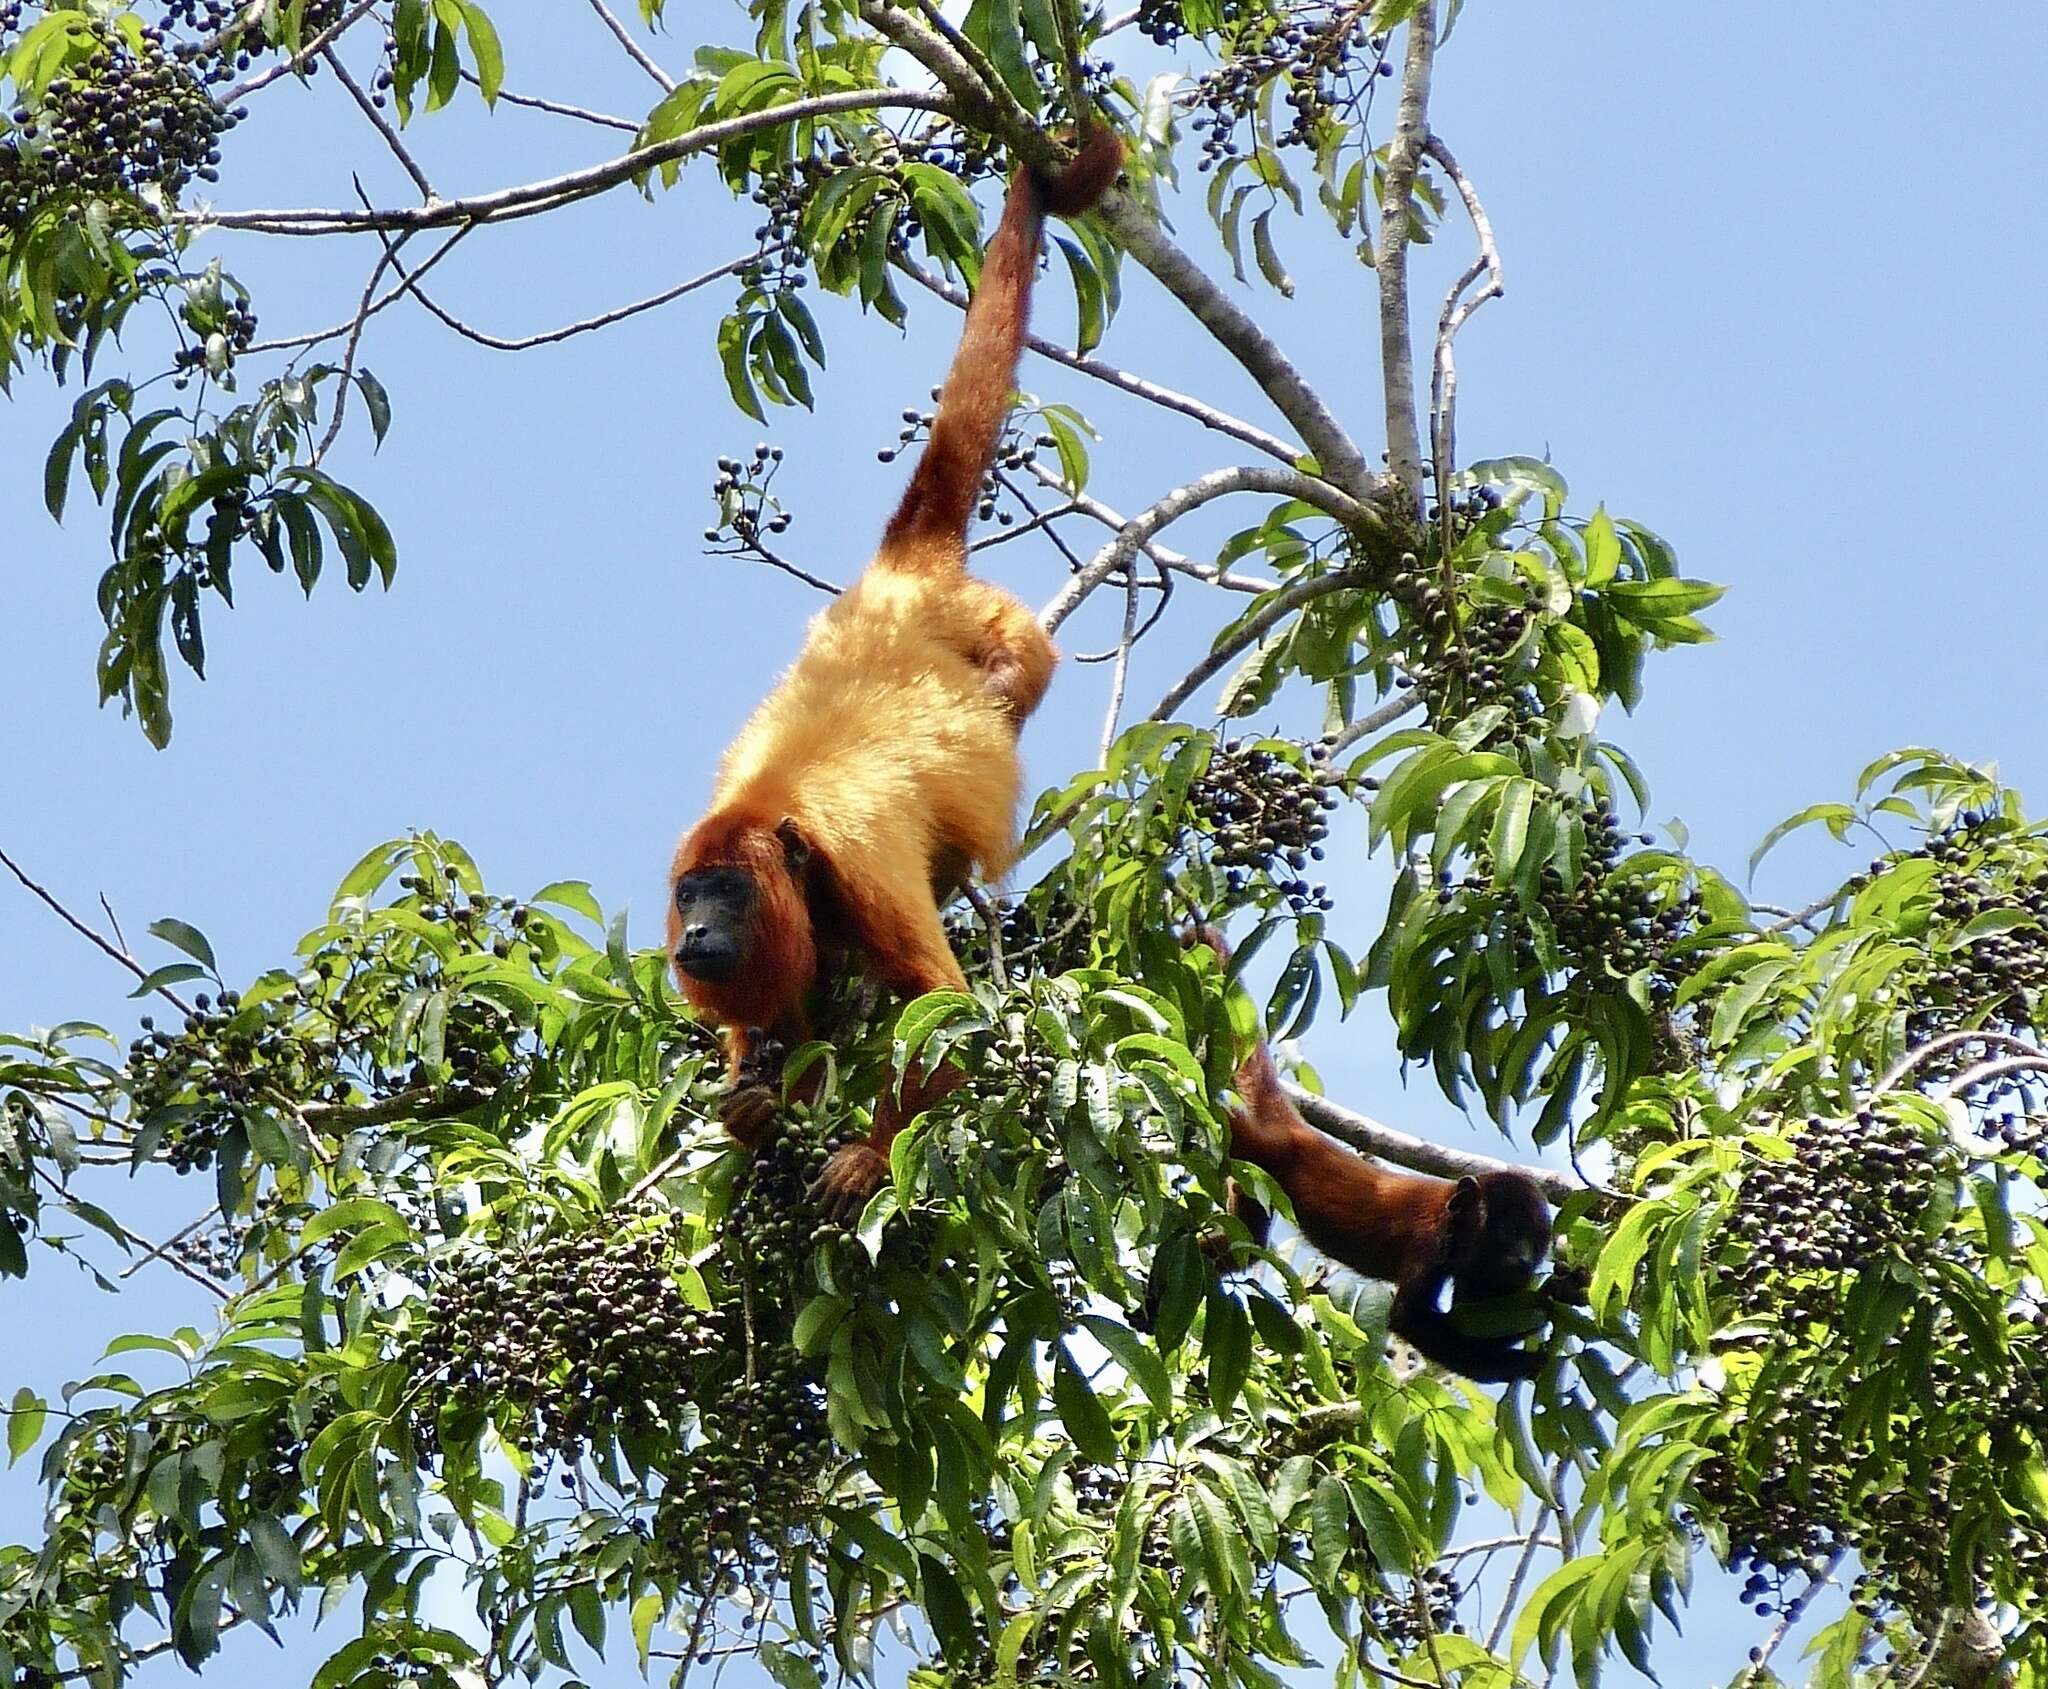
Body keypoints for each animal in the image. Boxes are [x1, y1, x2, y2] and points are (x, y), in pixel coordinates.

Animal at [667, 128, 1122, 1211]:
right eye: (687, 897)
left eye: (725, 894)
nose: (692, 936)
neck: (775, 815)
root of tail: (899, 575)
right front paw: (754, 1102)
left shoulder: (859, 866)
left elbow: (943, 1010)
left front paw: (868, 1157)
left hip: (998, 625)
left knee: (1016, 674)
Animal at [1187, 921, 1548, 1383]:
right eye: (1512, 1232)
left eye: (1535, 1242)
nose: (1524, 1262)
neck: (1460, 1216)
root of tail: (1297, 1132)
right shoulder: (1431, 1241)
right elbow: (1410, 1319)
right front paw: (1524, 1358)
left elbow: (1474, 1317)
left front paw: (1557, 1296)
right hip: (1261, 1146)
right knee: (1230, 1128)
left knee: (1244, 1243)